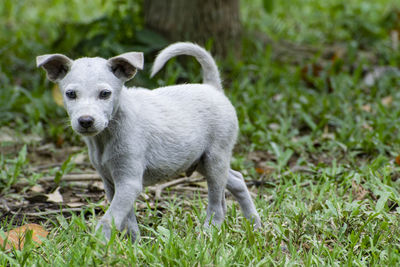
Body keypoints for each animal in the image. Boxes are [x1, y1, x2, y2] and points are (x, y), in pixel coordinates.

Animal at [36, 43, 262, 241]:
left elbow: (109, 219)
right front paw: (134, 245)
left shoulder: (129, 182)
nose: (85, 121)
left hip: (215, 159)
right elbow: (127, 219)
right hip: (200, 162)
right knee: (237, 180)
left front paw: (98, 243)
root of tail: (212, 88)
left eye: (105, 94)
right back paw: (255, 224)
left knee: (217, 204)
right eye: (70, 94)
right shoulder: (112, 183)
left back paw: (210, 231)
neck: (107, 135)